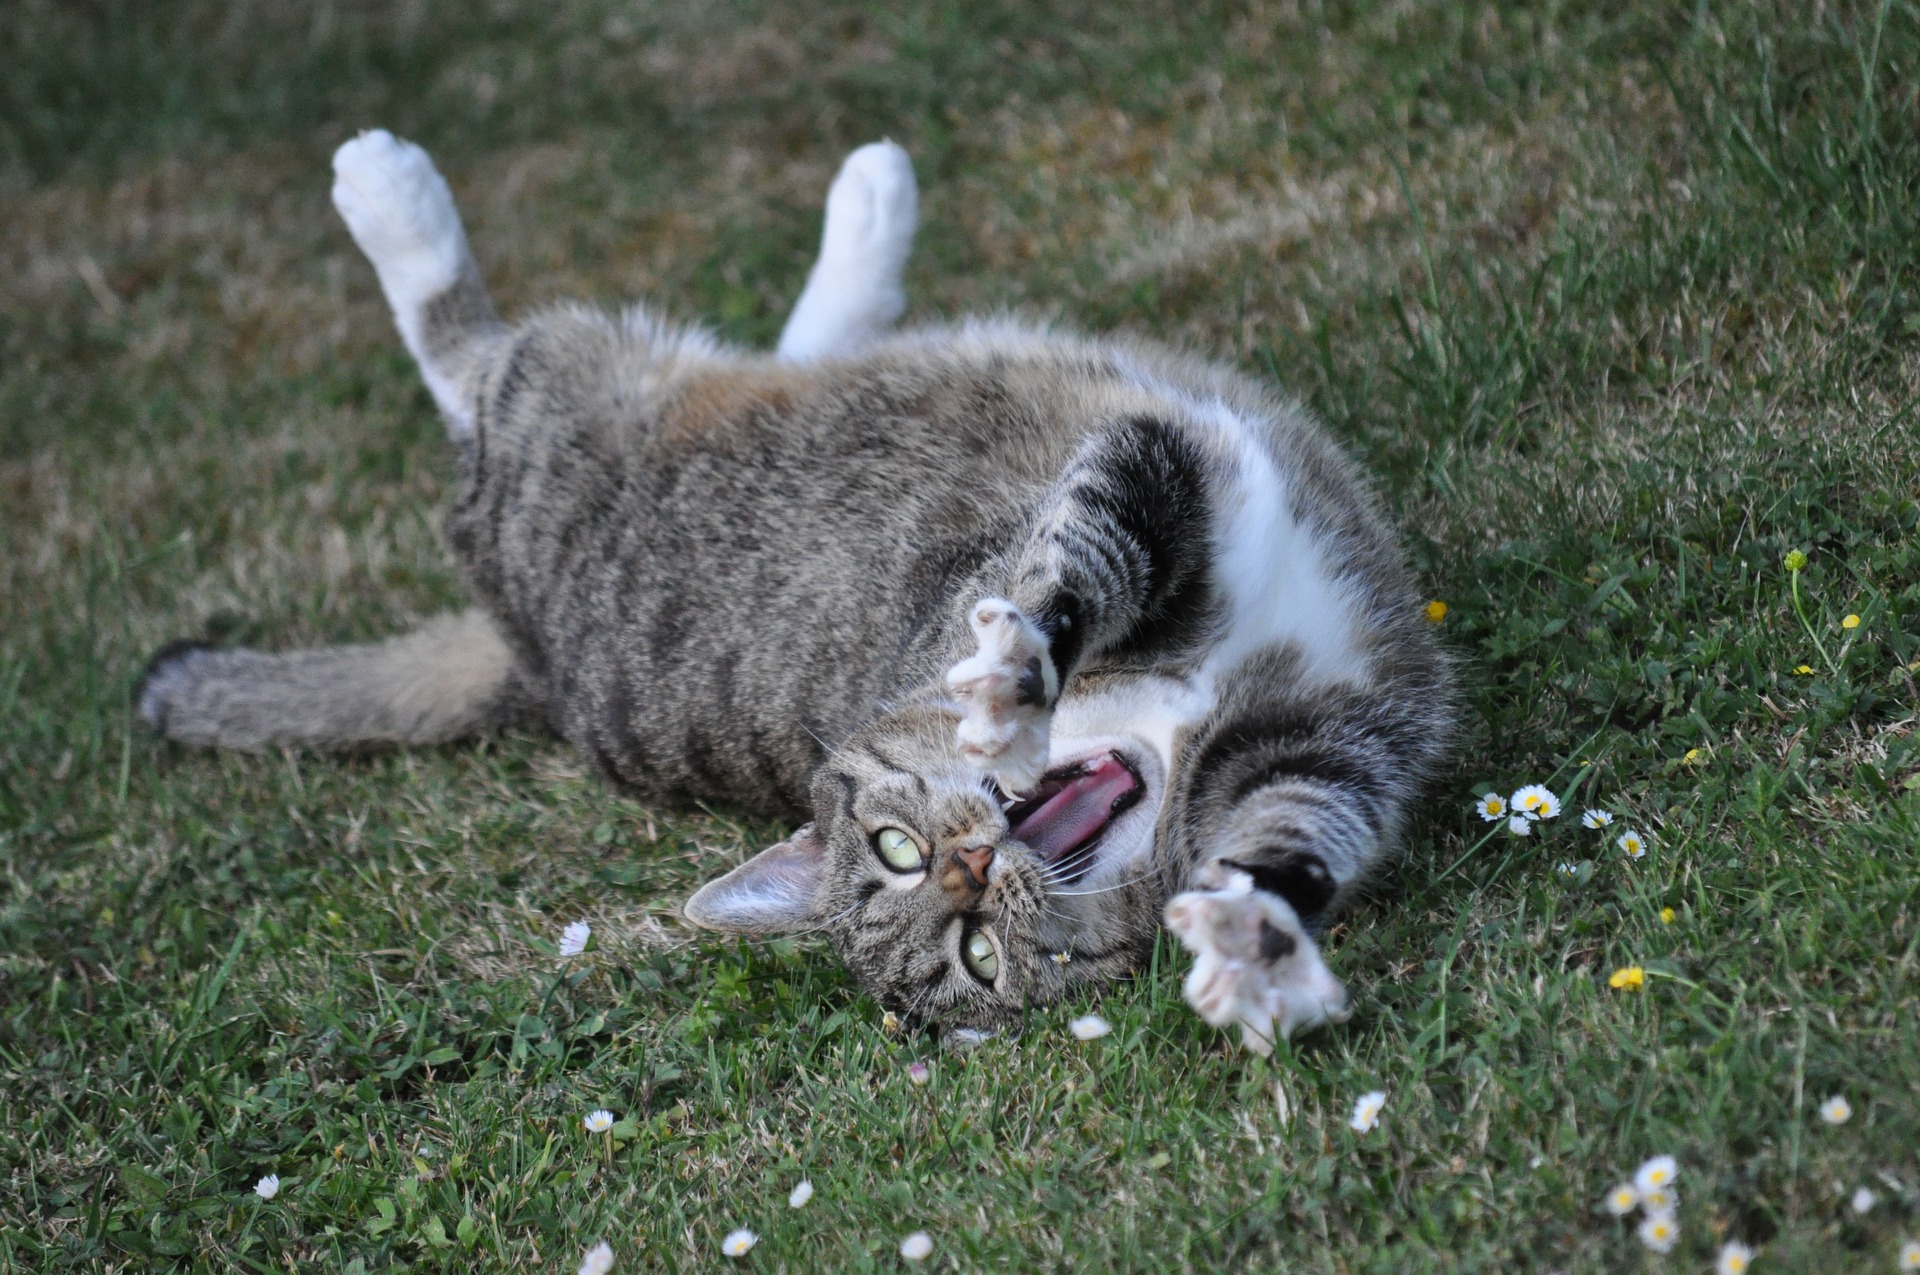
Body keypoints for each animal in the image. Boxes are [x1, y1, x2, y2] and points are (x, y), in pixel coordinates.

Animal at [139, 129, 1451, 1052]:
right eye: (972, 952)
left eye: (899, 849)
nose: (972, 867)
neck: (1166, 721)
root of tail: (532, 664)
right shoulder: (1323, 739)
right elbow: (1292, 826)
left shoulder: (1169, 517)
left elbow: (1087, 578)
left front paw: (1016, 677)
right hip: (568, 411)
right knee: (468, 358)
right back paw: (392, 194)